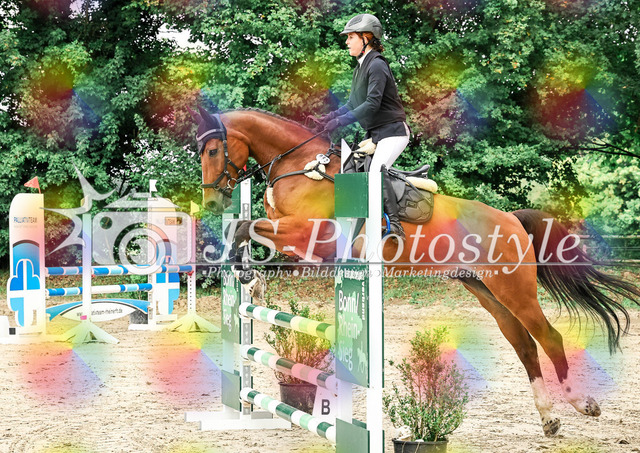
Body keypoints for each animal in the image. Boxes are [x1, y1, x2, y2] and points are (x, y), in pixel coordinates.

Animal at [190, 105, 640, 436]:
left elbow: (247, 226)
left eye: (212, 151)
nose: (211, 202)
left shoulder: (310, 233)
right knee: (524, 345)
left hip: (514, 288)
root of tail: (511, 218)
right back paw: (548, 419)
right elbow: (246, 230)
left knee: (549, 336)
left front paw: (249, 278)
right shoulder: (297, 239)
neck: (301, 166)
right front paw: (252, 281)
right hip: (486, 291)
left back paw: (582, 403)